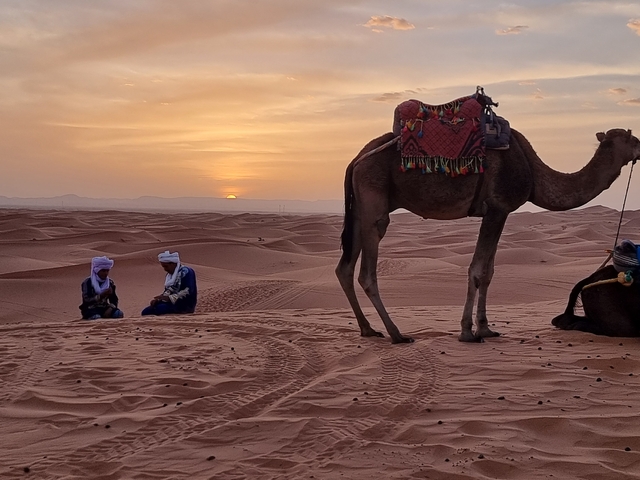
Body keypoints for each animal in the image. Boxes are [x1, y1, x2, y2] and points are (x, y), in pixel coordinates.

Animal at [335, 122, 640, 343]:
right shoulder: (497, 208)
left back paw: (368, 329)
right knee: (366, 272)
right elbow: (478, 269)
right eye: (631, 139)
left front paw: (485, 328)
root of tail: (355, 160)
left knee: (344, 268)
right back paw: (396, 334)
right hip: (374, 200)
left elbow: (490, 272)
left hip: (359, 208)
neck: (533, 172)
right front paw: (468, 332)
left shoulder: (499, 212)